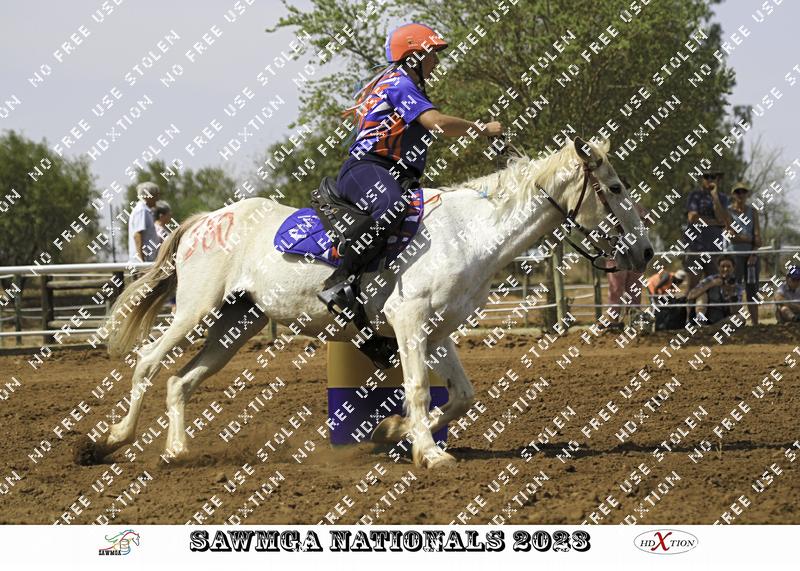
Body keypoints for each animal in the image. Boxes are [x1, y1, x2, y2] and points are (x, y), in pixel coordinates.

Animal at [76, 137, 653, 470]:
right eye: (616, 187)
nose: (646, 251)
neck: (469, 232)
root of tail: (205, 220)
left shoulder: (436, 332)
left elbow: (460, 395)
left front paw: (391, 433)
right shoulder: (409, 321)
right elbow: (418, 389)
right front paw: (429, 454)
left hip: (237, 324)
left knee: (179, 380)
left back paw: (175, 450)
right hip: (194, 310)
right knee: (148, 363)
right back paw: (107, 442)